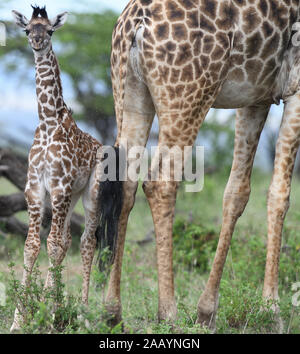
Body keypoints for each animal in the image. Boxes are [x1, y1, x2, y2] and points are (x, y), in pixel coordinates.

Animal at [9, 5, 115, 332]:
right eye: (28, 29)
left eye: (50, 30)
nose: (38, 42)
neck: (47, 122)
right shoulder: (35, 188)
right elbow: (32, 245)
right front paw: (21, 319)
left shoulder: (58, 187)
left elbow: (52, 245)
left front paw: (47, 314)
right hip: (72, 195)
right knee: (68, 240)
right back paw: (59, 306)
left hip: (90, 194)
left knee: (87, 242)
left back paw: (82, 313)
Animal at [105, 0, 300, 332]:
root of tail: (135, 23)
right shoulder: (296, 85)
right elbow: (280, 194)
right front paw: (271, 309)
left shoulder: (256, 97)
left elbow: (237, 193)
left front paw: (206, 311)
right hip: (188, 97)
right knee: (161, 183)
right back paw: (168, 312)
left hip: (129, 93)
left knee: (126, 183)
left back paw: (112, 312)